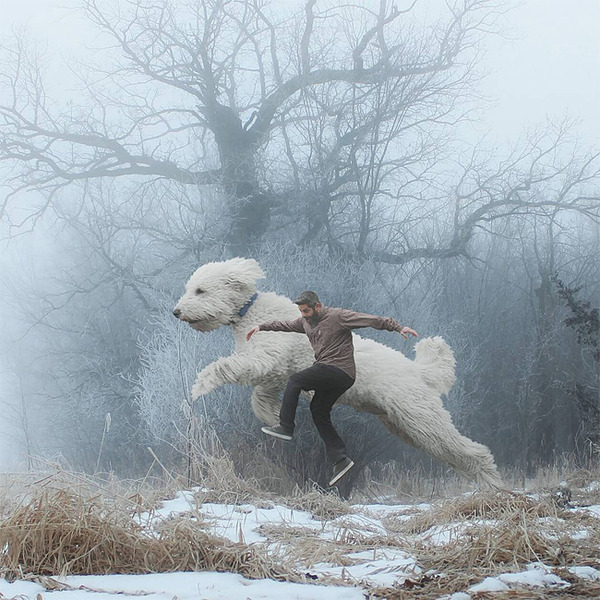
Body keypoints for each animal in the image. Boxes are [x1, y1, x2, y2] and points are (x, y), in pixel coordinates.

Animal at [173, 256, 502, 488]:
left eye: (200, 290)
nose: (176, 311)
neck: (251, 311)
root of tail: (417, 371)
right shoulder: (275, 372)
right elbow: (260, 395)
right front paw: (272, 417)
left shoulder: (266, 358)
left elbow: (228, 367)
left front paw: (201, 385)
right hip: (407, 427)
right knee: (454, 454)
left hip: (421, 417)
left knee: (470, 451)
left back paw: (495, 486)